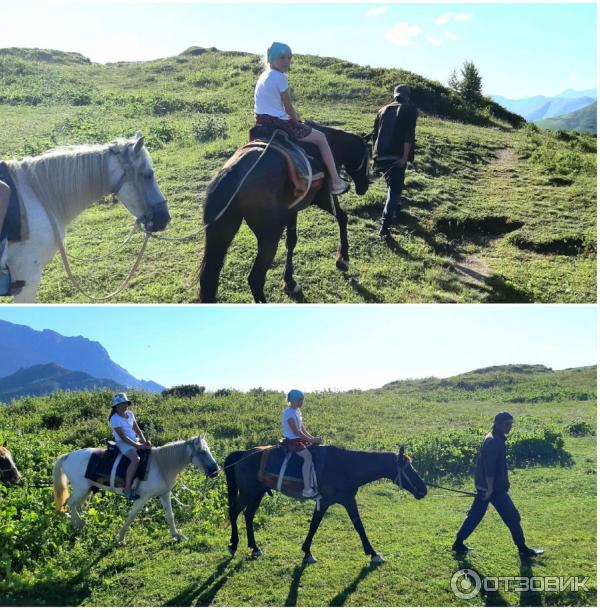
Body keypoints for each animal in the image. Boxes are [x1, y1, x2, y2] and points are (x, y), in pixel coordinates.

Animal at [53, 434, 218, 540]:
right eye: (203, 452)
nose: (216, 471)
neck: (160, 465)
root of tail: (67, 456)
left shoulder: (164, 494)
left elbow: (170, 515)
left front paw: (176, 535)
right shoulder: (142, 497)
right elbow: (132, 515)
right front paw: (120, 537)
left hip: (86, 490)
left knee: (75, 505)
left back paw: (77, 525)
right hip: (81, 489)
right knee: (70, 503)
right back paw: (79, 523)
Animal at [199, 122, 372, 302]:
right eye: (368, 157)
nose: (364, 187)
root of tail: (233, 173)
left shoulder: (291, 210)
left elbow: (291, 241)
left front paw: (289, 282)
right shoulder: (324, 198)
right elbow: (342, 217)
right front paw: (343, 259)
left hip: (221, 232)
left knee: (208, 279)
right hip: (270, 236)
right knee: (255, 278)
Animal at [224, 444, 426, 564]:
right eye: (408, 468)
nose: (424, 490)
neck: (345, 467)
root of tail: (242, 454)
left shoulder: (347, 500)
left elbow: (358, 525)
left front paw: (373, 553)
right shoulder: (327, 500)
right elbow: (315, 525)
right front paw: (307, 552)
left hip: (256, 494)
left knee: (248, 515)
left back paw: (254, 548)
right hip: (248, 493)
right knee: (234, 512)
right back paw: (233, 544)